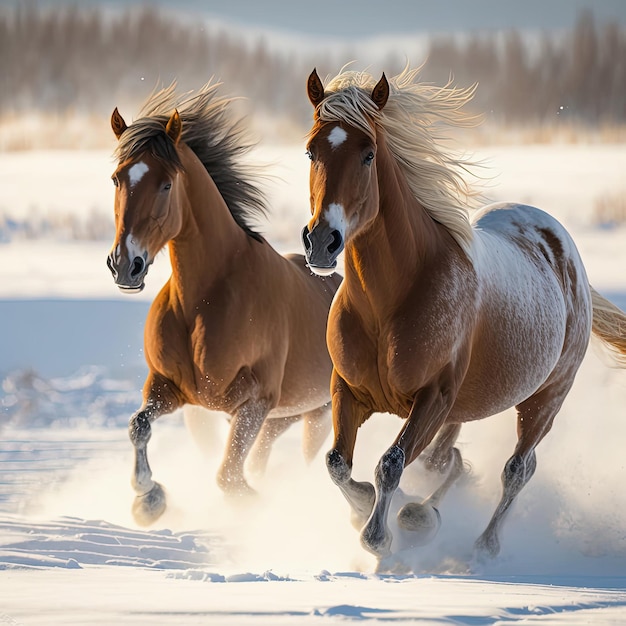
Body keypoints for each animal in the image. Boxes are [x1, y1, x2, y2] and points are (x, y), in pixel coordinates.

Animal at [108, 81, 342, 520]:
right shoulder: (170, 389)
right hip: (288, 414)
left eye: (166, 184)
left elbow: (229, 479)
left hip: (317, 415)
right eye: (117, 178)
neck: (202, 301)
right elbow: (138, 425)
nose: (125, 265)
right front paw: (149, 498)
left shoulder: (252, 403)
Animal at [302, 67, 624, 560]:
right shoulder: (348, 389)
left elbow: (390, 463)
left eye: (368, 154)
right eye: (311, 150)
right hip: (464, 406)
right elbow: (338, 462)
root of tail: (563, 247)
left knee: (517, 469)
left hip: (545, 398)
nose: (322, 241)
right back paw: (425, 514)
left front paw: (377, 536)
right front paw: (368, 509)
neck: (389, 303)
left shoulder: (432, 398)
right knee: (445, 460)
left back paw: (482, 546)